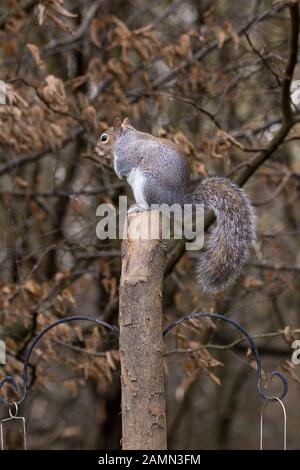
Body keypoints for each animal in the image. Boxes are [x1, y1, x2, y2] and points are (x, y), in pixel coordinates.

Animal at [94, 116, 255, 290]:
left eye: (104, 138)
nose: (96, 150)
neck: (124, 137)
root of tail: (178, 201)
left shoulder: (127, 153)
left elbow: (124, 166)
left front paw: (118, 173)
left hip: (146, 184)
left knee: (152, 206)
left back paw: (139, 208)